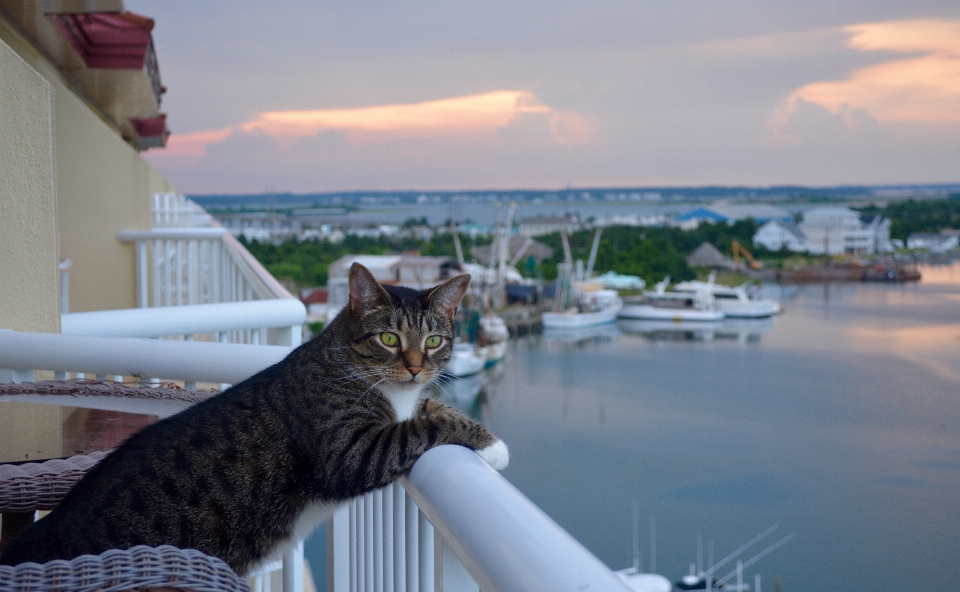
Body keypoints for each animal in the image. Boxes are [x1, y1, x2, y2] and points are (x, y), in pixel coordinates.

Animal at [0, 264, 506, 572]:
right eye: (389, 338)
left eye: (434, 341)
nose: (417, 367)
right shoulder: (349, 449)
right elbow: (422, 426)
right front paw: (492, 445)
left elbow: (430, 408)